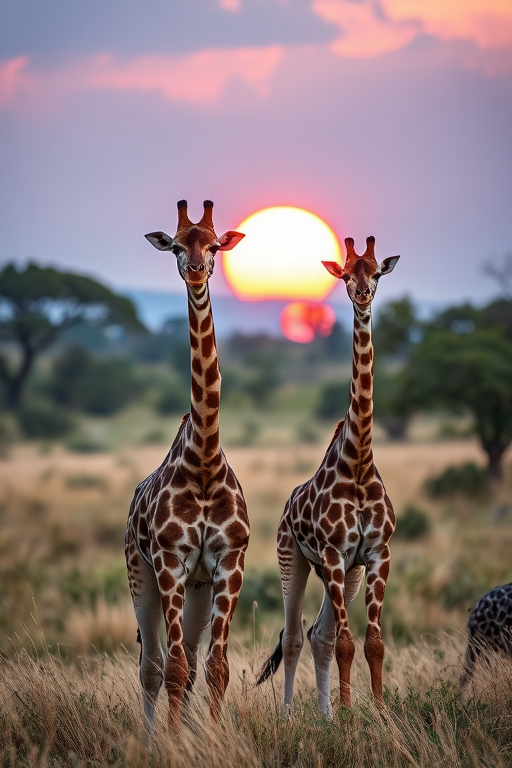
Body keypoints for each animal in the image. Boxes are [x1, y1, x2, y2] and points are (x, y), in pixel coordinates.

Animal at [257, 236, 400, 717]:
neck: (358, 463)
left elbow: (372, 642)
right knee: (294, 635)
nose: (363, 296)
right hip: (294, 560)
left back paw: (325, 715)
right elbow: (346, 643)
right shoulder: (335, 554)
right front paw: (354, 716)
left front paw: (379, 711)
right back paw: (290, 715)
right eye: (345, 275)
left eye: (376, 272)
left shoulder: (375, 553)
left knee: (318, 634)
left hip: (341, 573)